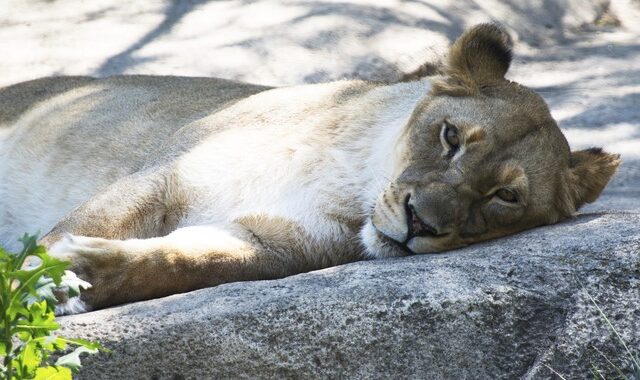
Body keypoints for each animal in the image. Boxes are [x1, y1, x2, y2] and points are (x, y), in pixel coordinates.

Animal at [0, 24, 620, 314]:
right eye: (450, 138)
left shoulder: (266, 242)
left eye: (505, 198)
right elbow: (88, 224)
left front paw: (75, 276)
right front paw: (28, 280)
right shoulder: (163, 176)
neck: (348, 176)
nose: (420, 224)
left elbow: (178, 261)